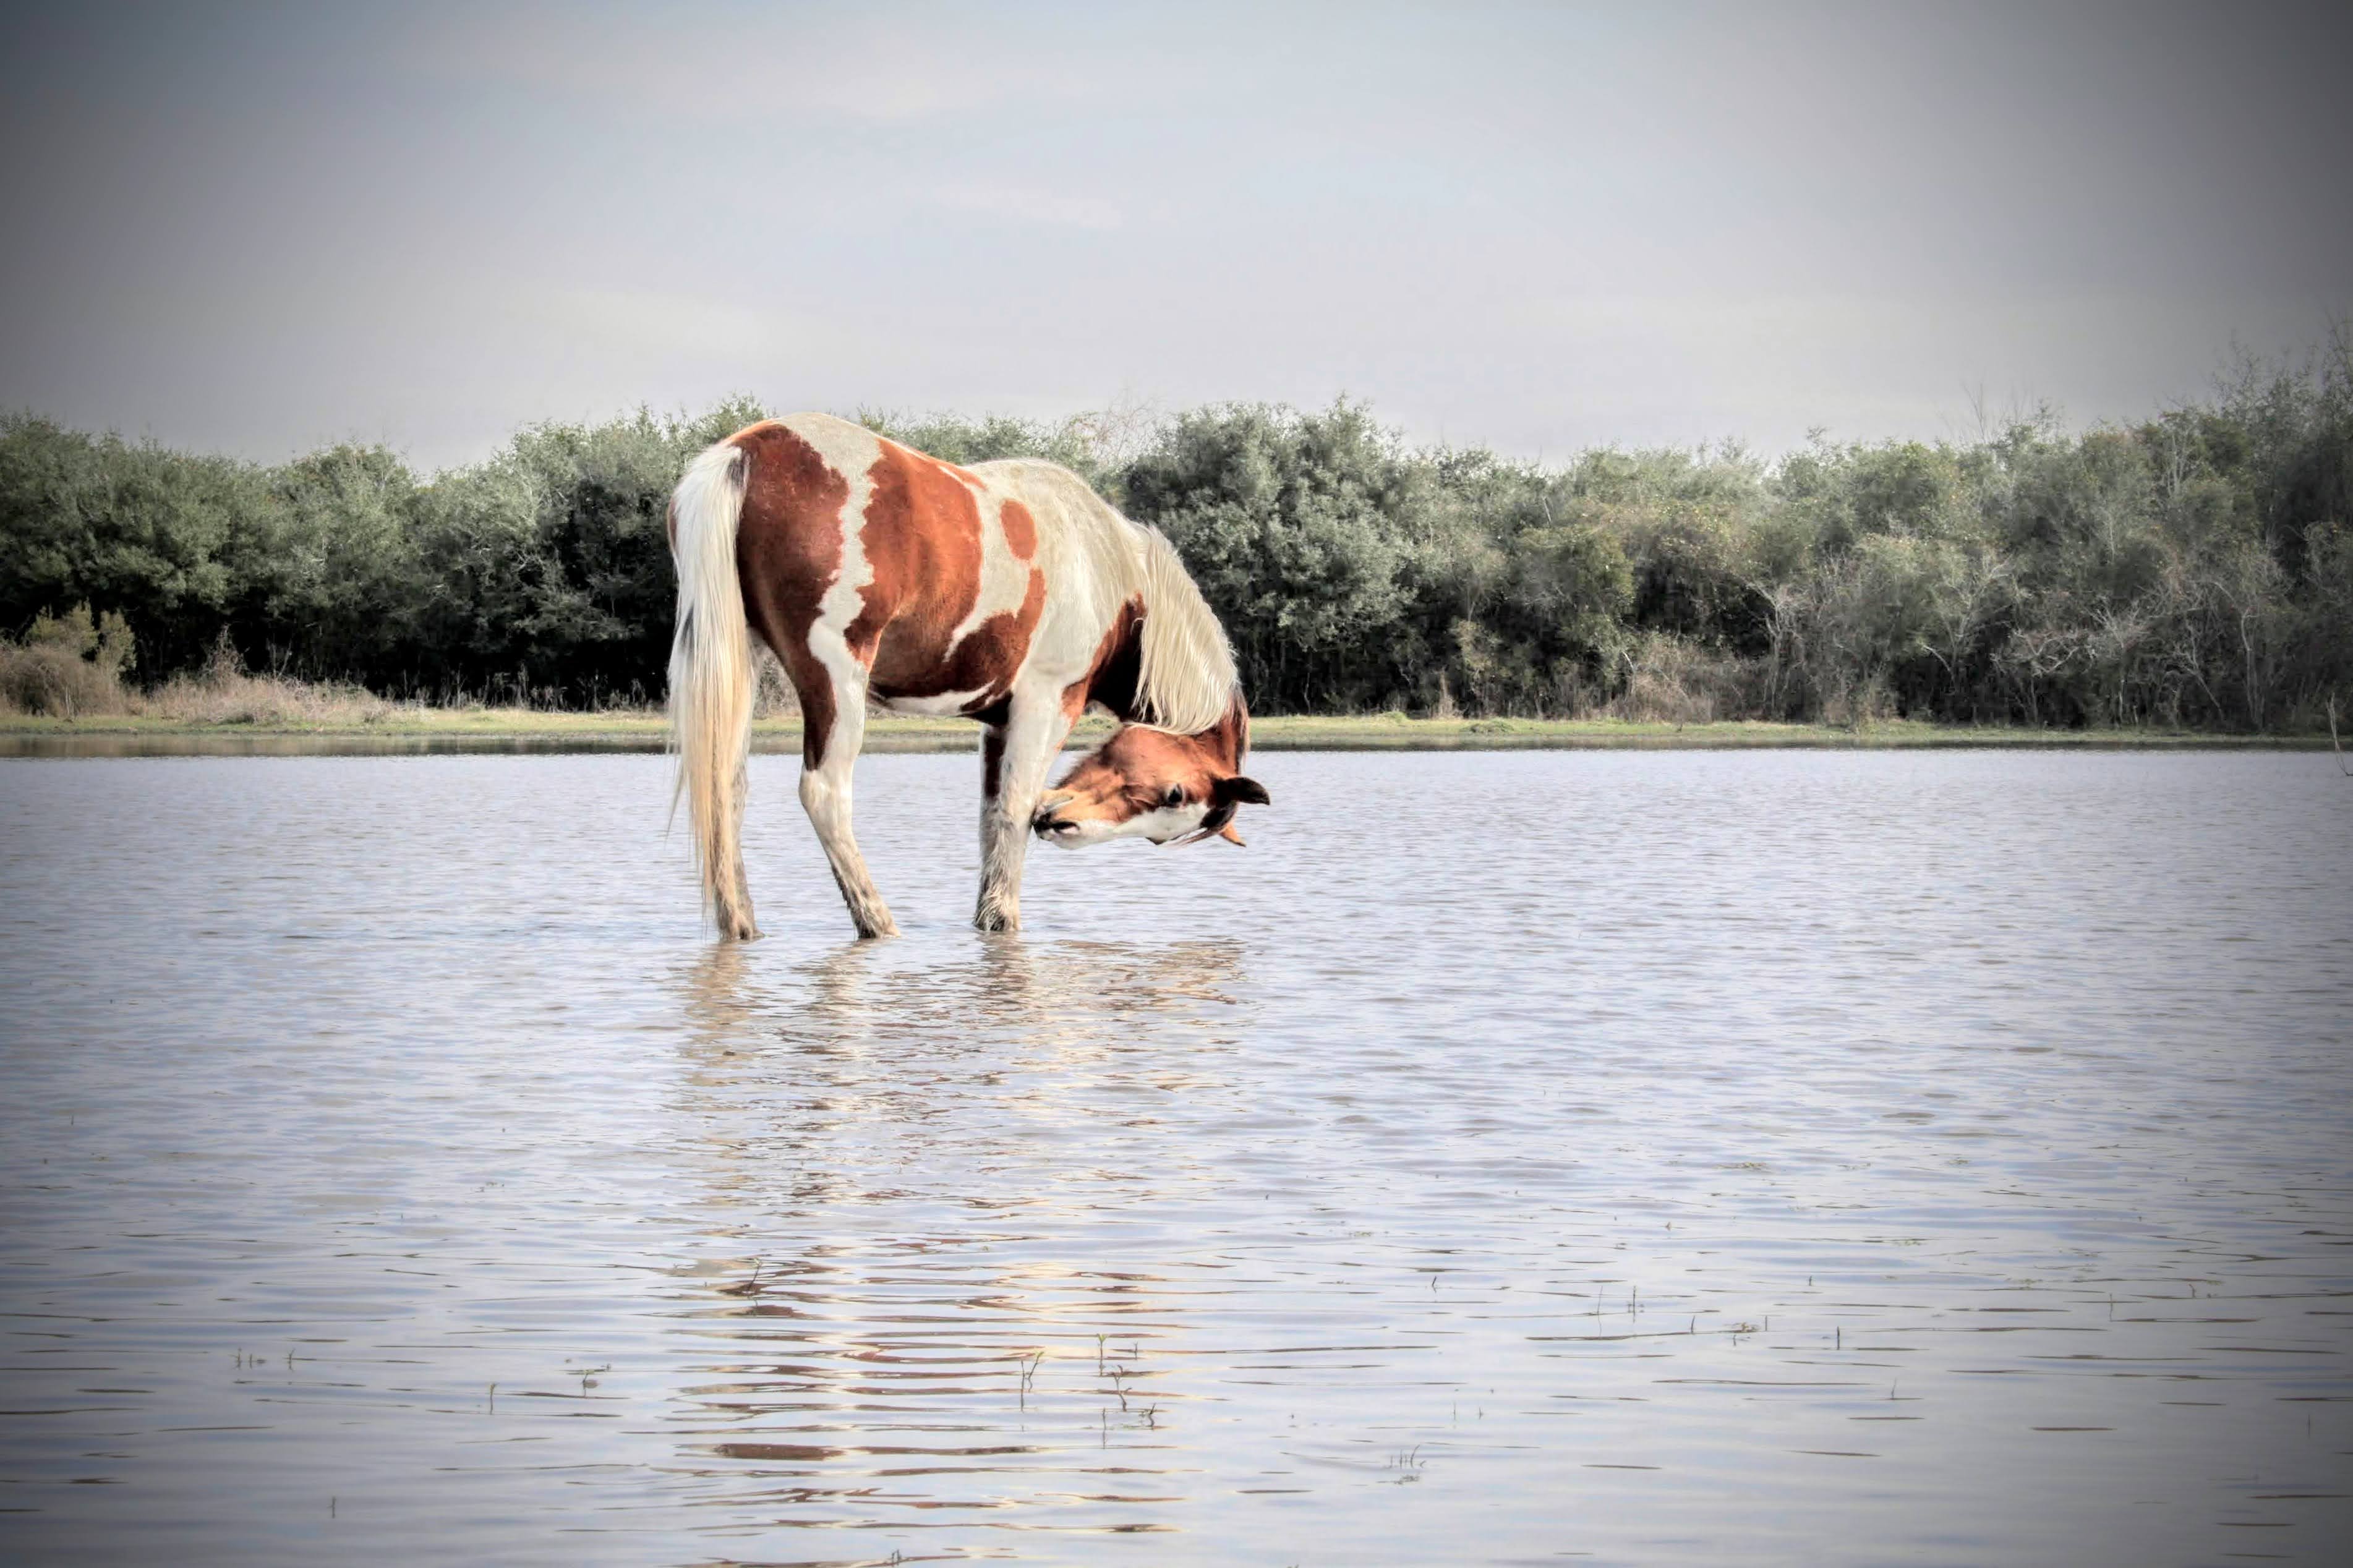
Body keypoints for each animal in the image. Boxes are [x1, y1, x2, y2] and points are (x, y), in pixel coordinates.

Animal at [666, 414, 1270, 940]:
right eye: (1174, 795)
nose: (1065, 826)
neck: (1112, 570)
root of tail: (746, 452)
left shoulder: (998, 723)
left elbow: (990, 817)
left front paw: (987, 922)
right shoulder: (1046, 704)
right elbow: (1015, 809)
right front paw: (1005, 921)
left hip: (741, 663)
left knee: (724, 787)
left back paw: (742, 926)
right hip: (835, 679)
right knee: (824, 794)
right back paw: (878, 922)